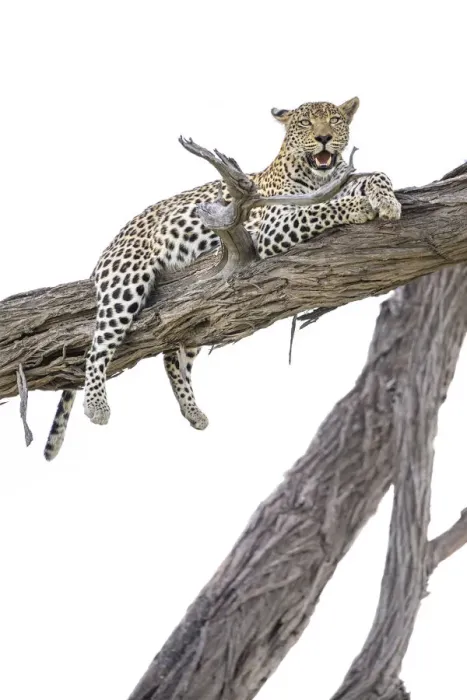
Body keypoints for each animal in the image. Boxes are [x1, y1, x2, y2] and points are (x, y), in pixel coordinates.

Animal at [44, 97, 401, 460]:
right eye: (305, 123)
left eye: (334, 120)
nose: (325, 138)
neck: (314, 177)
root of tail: (112, 243)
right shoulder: (271, 227)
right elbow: (319, 209)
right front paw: (359, 206)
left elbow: (377, 175)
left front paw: (387, 200)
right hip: (125, 282)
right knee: (97, 347)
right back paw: (97, 404)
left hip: (196, 315)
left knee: (172, 355)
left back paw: (192, 411)